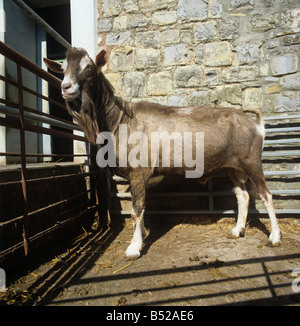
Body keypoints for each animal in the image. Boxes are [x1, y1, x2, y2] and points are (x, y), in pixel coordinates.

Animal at [44, 46, 282, 260]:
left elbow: (136, 209)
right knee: (243, 196)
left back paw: (275, 237)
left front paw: (134, 248)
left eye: (89, 67)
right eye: (62, 69)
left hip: (251, 162)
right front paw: (141, 235)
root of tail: (256, 124)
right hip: (232, 167)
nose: (66, 87)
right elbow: (140, 208)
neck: (121, 120)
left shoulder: (139, 171)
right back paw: (238, 231)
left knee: (266, 195)